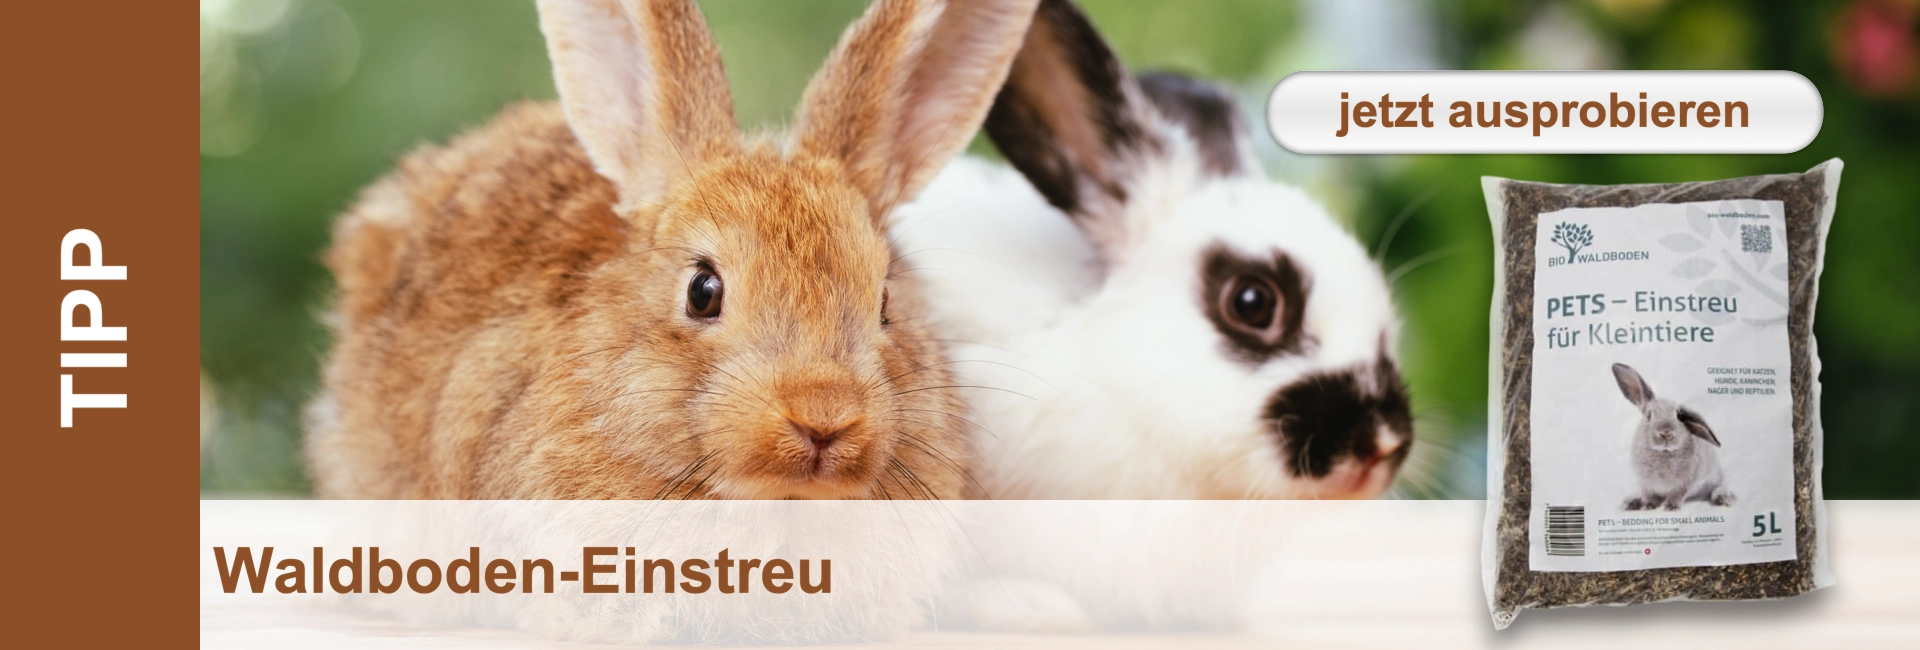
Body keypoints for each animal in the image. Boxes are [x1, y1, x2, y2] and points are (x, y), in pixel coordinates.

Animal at [1613, 363, 1733, 510]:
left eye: (1679, 416)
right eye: (1649, 415)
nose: (1666, 433)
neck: (1664, 452)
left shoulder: (1686, 483)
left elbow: (1677, 494)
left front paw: (1670, 507)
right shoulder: (1644, 484)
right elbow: (1648, 495)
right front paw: (1648, 506)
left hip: (1714, 478)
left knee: (1718, 487)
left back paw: (1723, 499)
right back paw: (1630, 502)